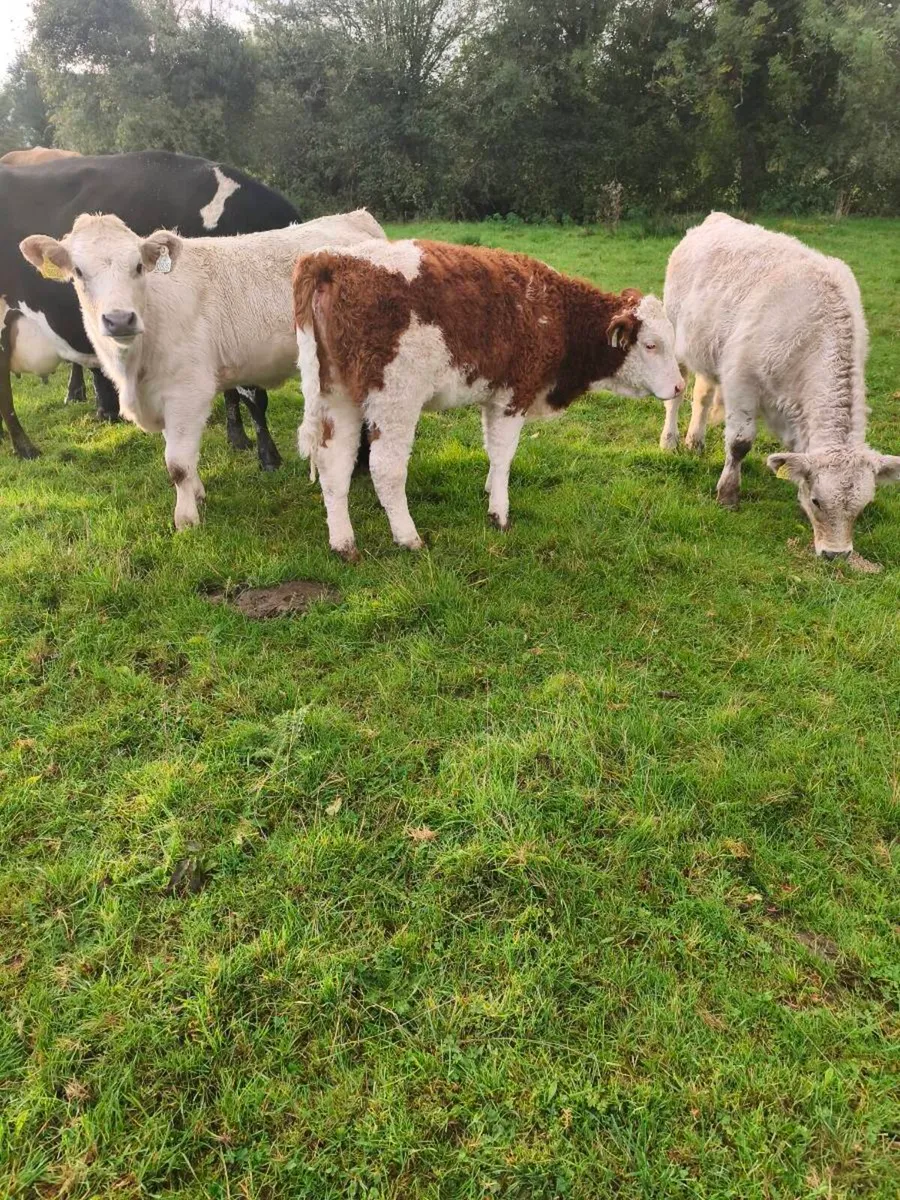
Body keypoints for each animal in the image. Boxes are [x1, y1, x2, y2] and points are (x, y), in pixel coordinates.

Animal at [21, 209, 386, 529]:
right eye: (79, 272)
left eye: (138, 266)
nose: (119, 319)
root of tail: (356, 216)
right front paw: (197, 495)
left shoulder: (187, 391)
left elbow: (178, 464)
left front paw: (186, 519)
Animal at [292, 239, 683, 559]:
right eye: (651, 345)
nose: (680, 387)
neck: (552, 310)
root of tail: (332, 258)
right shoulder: (514, 396)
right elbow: (504, 454)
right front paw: (499, 512)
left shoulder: (492, 396)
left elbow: (492, 452)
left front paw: (489, 488)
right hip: (395, 401)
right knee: (385, 468)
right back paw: (408, 537)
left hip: (338, 397)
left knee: (333, 464)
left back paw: (343, 543)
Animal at [663, 212, 900, 558]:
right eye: (818, 501)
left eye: (863, 506)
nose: (836, 554)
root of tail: (715, 218)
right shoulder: (741, 382)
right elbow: (740, 443)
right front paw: (728, 495)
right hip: (673, 336)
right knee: (675, 396)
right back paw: (670, 441)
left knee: (702, 397)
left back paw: (696, 441)